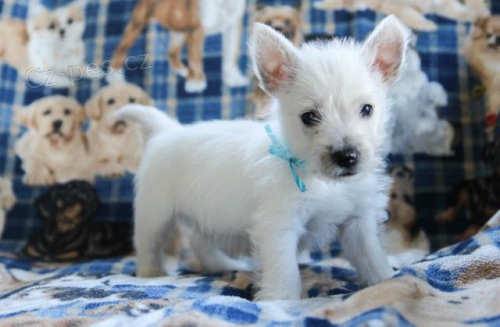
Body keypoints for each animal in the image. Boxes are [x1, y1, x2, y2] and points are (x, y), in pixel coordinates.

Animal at [116, 16, 410, 302]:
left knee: (200, 241)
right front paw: (280, 302)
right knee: (148, 244)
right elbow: (285, 270)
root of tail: (167, 130)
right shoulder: (278, 226)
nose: (347, 157)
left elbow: (371, 256)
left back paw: (223, 264)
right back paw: (152, 272)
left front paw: (386, 281)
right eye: (309, 116)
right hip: (155, 212)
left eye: (367, 109)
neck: (322, 180)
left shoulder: (359, 221)